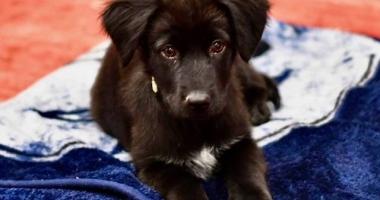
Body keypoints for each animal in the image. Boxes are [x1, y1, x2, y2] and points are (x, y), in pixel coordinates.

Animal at [90, 0, 280, 199]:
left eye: (217, 46)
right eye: (169, 51)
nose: (198, 102)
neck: (197, 125)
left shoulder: (241, 141)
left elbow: (247, 174)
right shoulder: (154, 163)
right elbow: (185, 185)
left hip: (240, 65)